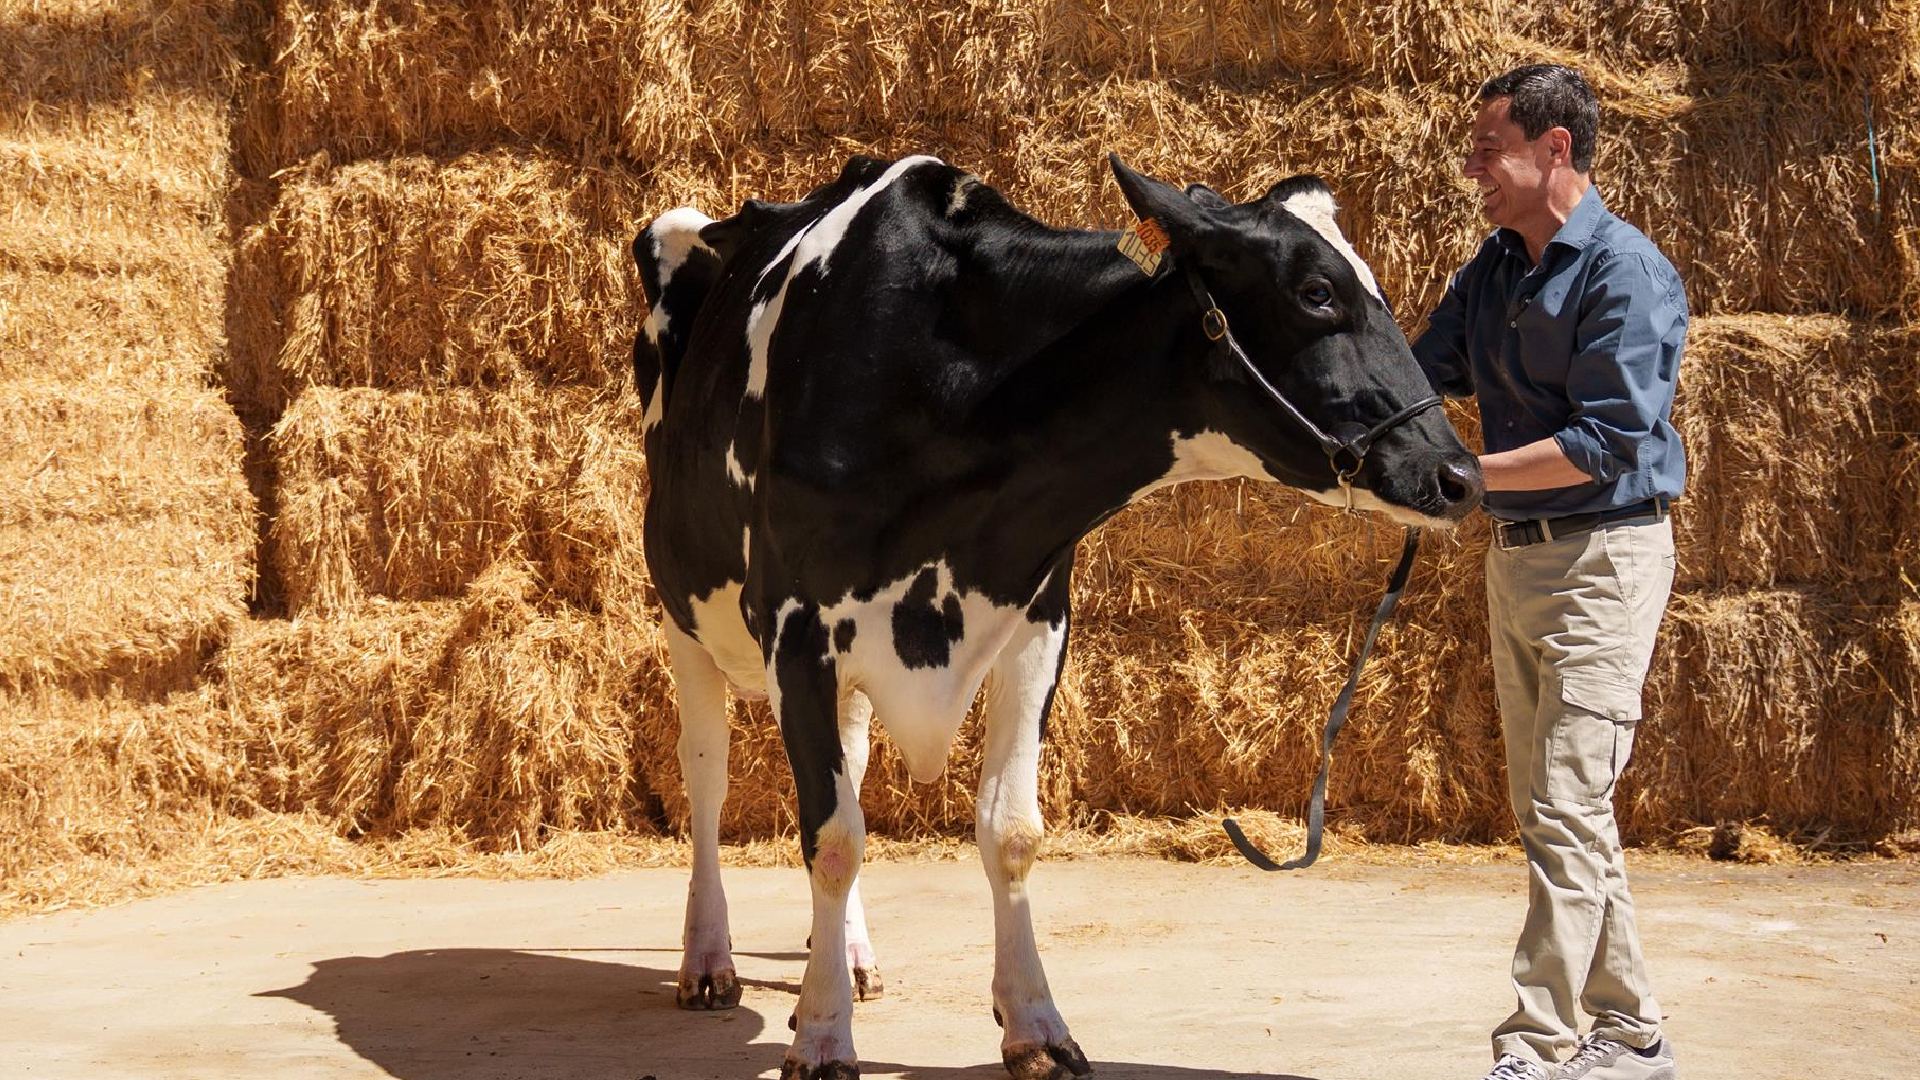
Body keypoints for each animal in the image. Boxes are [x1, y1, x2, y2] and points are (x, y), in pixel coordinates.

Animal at [631, 153, 1482, 1080]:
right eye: (1319, 292)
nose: (1460, 475)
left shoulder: (1038, 618)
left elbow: (1009, 831)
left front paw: (1034, 1023)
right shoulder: (797, 628)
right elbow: (829, 838)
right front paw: (823, 1038)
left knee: (847, 769)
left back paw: (850, 957)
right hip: (683, 613)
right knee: (707, 775)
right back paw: (707, 960)